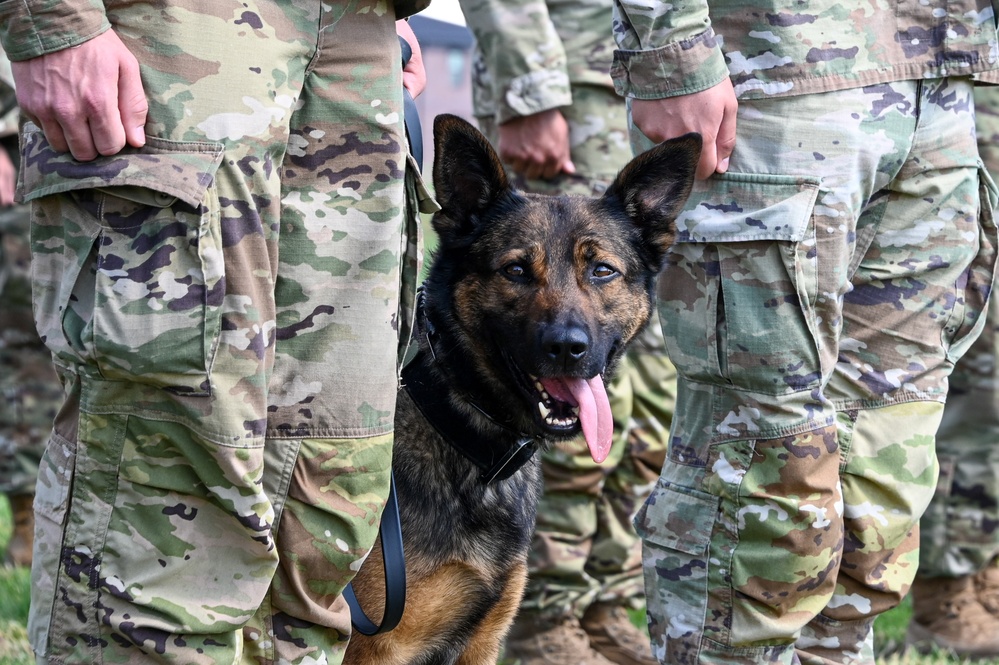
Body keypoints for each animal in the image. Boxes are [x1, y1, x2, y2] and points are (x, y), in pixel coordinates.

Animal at [348, 115, 700, 664]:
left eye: (602, 270)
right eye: (515, 270)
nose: (568, 348)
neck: (464, 435)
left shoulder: (482, 642)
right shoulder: (375, 647)